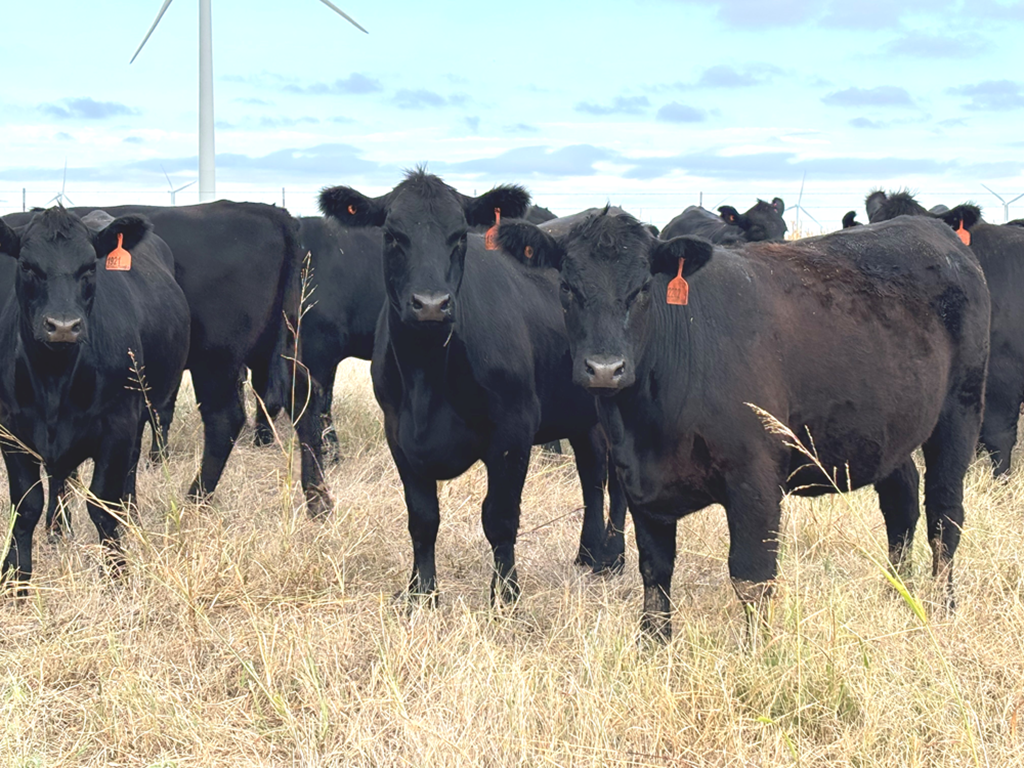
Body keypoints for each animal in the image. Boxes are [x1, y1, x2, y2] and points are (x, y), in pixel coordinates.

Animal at [0, 207, 191, 593]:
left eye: (89, 267)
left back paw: (129, 517)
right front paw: (16, 580)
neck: (54, 377)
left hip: (149, 410)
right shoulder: (10, 431)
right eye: (27, 265)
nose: (62, 326)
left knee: (130, 467)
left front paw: (117, 573)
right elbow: (26, 505)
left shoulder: (117, 427)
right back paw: (57, 530)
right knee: (61, 477)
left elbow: (103, 502)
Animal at [4, 202, 329, 518]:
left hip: (217, 358)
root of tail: (273, 212)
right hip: (277, 341)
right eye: (26, 266)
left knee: (224, 418)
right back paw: (318, 501)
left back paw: (195, 500)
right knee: (304, 396)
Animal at [317, 169, 622, 606]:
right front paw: (421, 592)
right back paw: (589, 553)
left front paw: (505, 596)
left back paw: (613, 556)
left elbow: (500, 517)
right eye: (392, 235)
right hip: (580, 412)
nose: (430, 304)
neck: (427, 378)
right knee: (592, 471)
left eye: (460, 235)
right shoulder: (398, 433)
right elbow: (422, 517)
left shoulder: (513, 430)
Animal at [499, 207, 987, 638]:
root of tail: (932, 229)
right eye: (566, 287)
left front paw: (758, 654)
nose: (604, 369)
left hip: (959, 413)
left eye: (642, 288)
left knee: (945, 514)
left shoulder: (756, 478)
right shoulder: (639, 484)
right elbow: (655, 572)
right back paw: (896, 594)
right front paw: (654, 644)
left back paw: (943, 606)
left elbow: (752, 577)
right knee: (901, 501)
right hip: (888, 428)